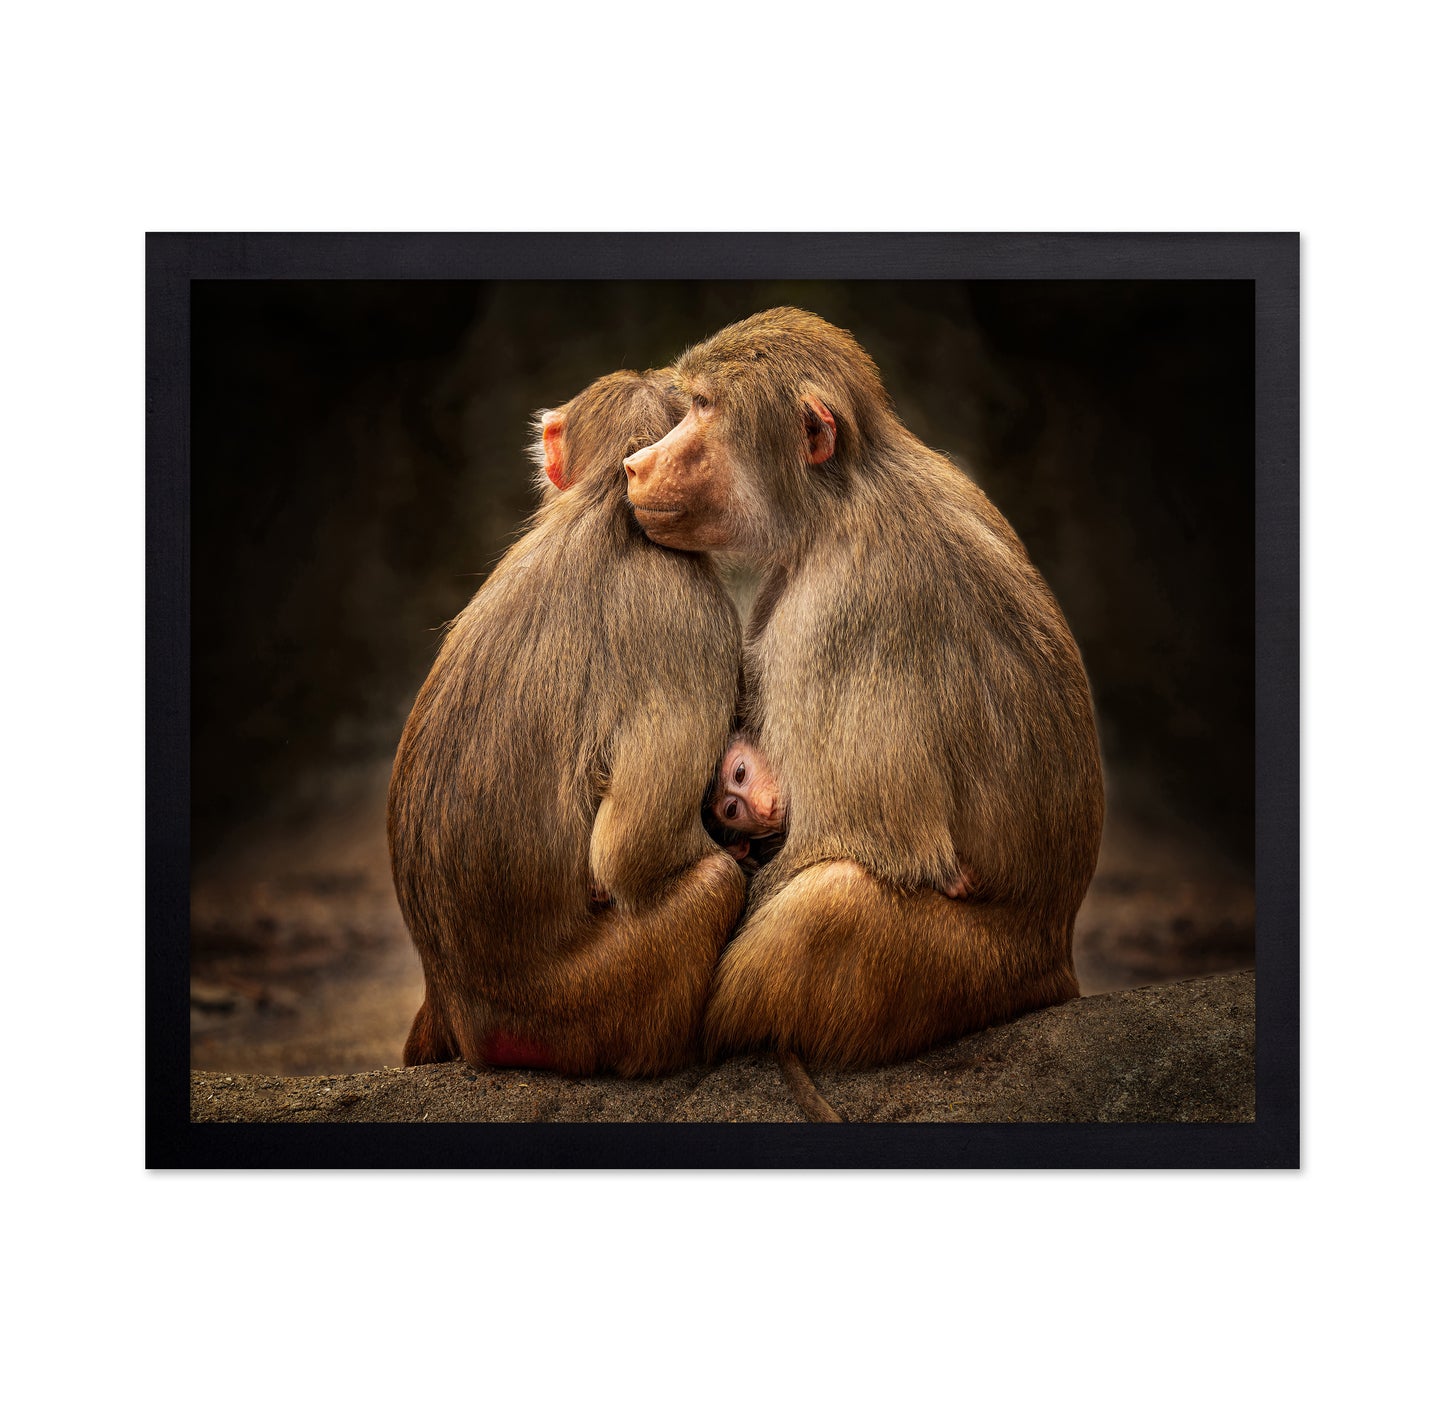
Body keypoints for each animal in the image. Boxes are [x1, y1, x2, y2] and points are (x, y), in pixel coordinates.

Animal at [387, 369, 746, 1076]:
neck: (607, 501)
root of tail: (462, 1005)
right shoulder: (693, 618)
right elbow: (633, 851)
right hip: (579, 1010)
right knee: (714, 884)